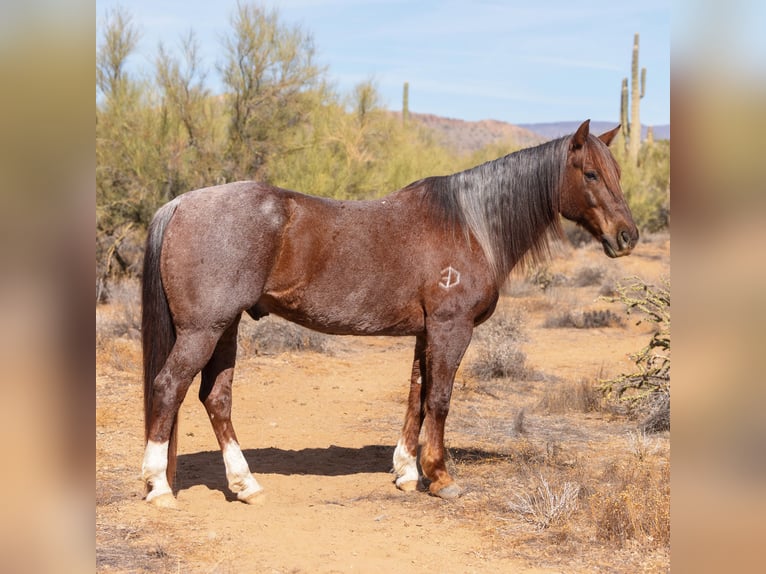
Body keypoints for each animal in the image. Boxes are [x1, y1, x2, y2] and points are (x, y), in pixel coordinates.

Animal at [141, 119, 640, 506]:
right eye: (591, 174)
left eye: (616, 172)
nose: (627, 236)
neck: (469, 225)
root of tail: (181, 203)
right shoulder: (451, 329)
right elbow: (439, 399)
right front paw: (440, 477)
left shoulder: (426, 333)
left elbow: (416, 396)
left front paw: (406, 472)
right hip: (203, 330)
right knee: (168, 388)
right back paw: (159, 487)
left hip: (225, 329)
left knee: (216, 399)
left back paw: (245, 485)